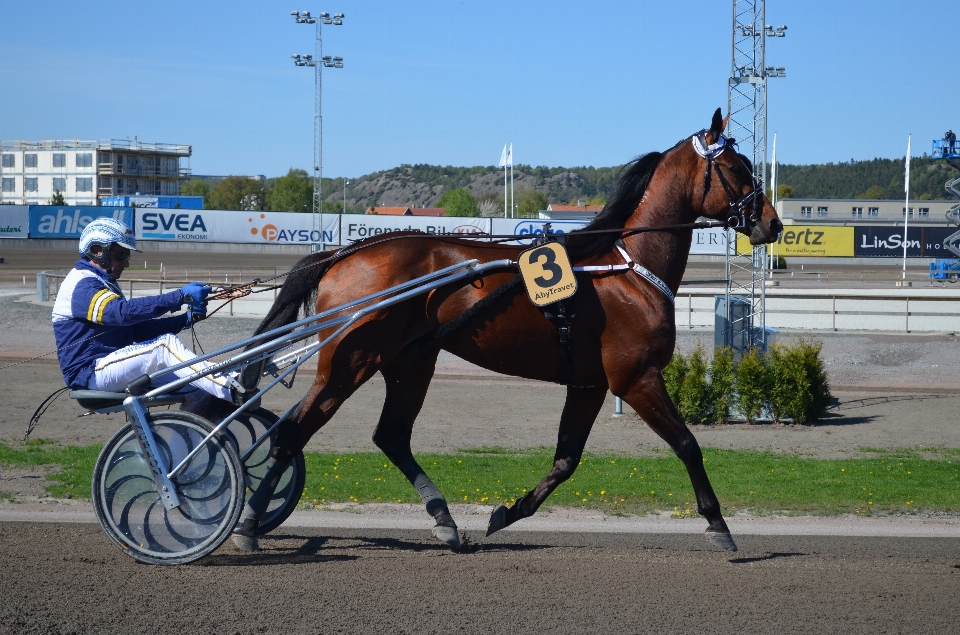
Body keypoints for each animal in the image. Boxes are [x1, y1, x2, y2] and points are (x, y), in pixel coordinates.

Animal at [232, 109, 780, 552]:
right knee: (296, 431)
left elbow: (566, 460)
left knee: (390, 435)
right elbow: (688, 444)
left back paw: (445, 520)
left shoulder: (589, 383)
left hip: (410, 360)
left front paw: (506, 513)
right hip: (351, 361)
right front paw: (719, 525)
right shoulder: (635, 376)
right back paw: (250, 524)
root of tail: (345, 252)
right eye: (738, 169)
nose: (772, 224)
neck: (627, 269)